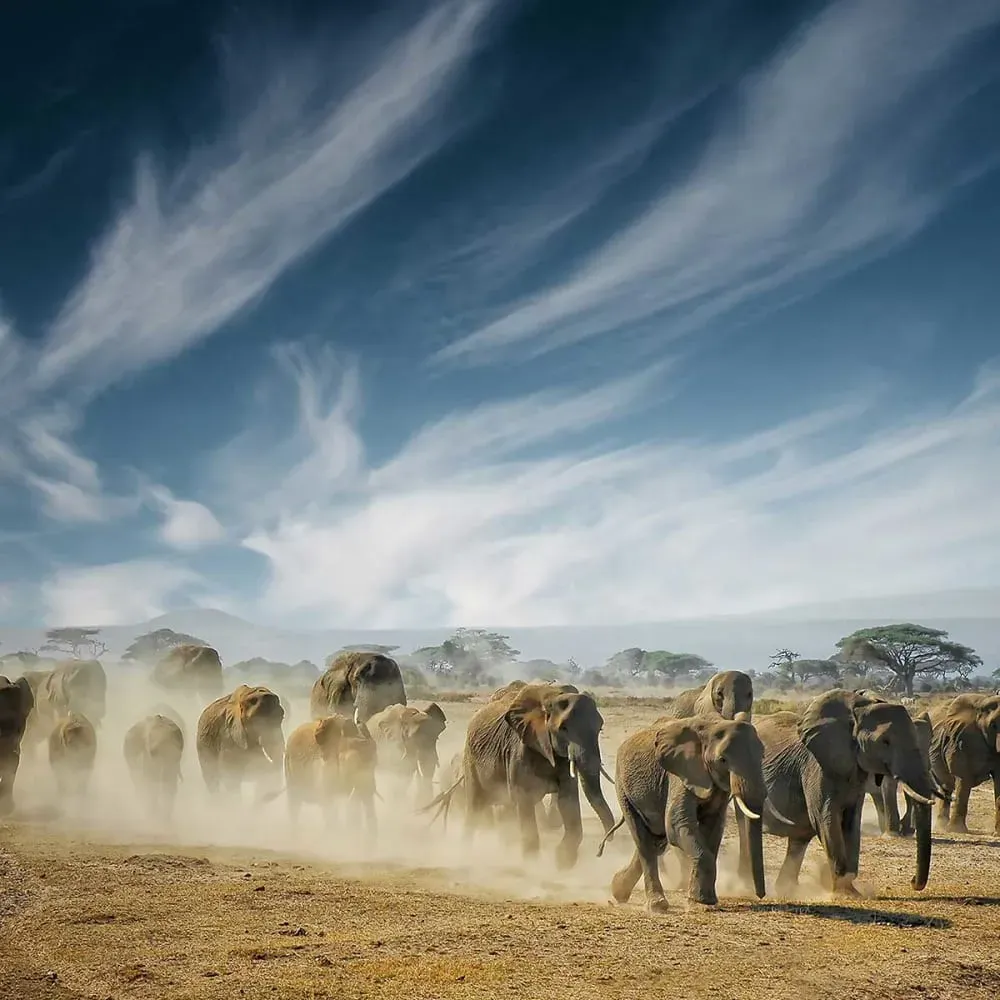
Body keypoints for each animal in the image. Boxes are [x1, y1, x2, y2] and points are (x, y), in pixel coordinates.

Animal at [425, 682, 616, 869]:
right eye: (563, 728)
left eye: (599, 727)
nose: (601, 849)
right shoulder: (518, 750)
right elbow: (524, 799)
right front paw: (533, 865)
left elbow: (568, 800)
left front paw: (562, 863)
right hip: (470, 760)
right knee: (474, 806)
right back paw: (466, 853)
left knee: (506, 807)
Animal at [603, 715, 767, 911]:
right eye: (722, 760)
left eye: (763, 756)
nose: (760, 895)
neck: (714, 725)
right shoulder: (680, 773)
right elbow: (676, 824)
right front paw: (702, 902)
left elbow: (713, 826)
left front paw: (703, 901)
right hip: (623, 789)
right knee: (644, 841)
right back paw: (657, 906)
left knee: (656, 840)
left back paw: (618, 889)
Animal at [755, 689, 937, 897]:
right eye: (885, 742)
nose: (913, 881)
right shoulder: (816, 765)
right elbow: (824, 816)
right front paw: (844, 894)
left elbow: (851, 820)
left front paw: (852, 889)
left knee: (800, 837)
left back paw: (787, 889)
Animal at [928, 693, 1000, 835]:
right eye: (993, 725)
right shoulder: (959, 740)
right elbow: (964, 778)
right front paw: (956, 831)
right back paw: (942, 827)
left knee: (946, 786)